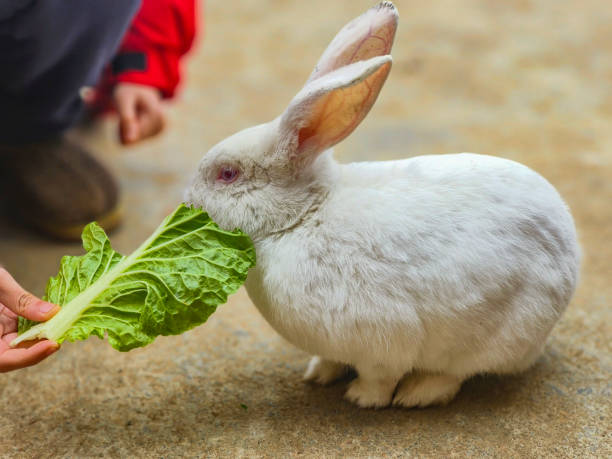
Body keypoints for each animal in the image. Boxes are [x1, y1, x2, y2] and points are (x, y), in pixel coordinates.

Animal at [185, 0, 580, 410]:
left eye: (227, 174)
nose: (189, 201)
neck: (305, 215)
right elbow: (331, 359)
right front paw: (317, 374)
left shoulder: (380, 343)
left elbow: (379, 377)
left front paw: (361, 398)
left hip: (490, 337)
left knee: (453, 374)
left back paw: (416, 395)